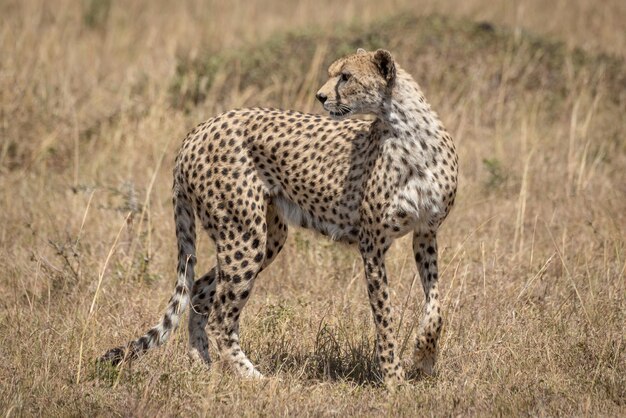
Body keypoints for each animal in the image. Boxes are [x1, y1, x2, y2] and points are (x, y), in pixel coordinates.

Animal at [100, 49, 456, 388]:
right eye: (334, 73)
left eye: (345, 76)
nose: (320, 96)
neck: (407, 131)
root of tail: (199, 129)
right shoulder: (372, 244)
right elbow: (384, 316)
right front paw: (394, 379)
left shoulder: (426, 232)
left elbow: (436, 304)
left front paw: (424, 356)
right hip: (244, 236)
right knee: (220, 317)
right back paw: (253, 377)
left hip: (267, 237)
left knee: (200, 290)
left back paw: (202, 365)